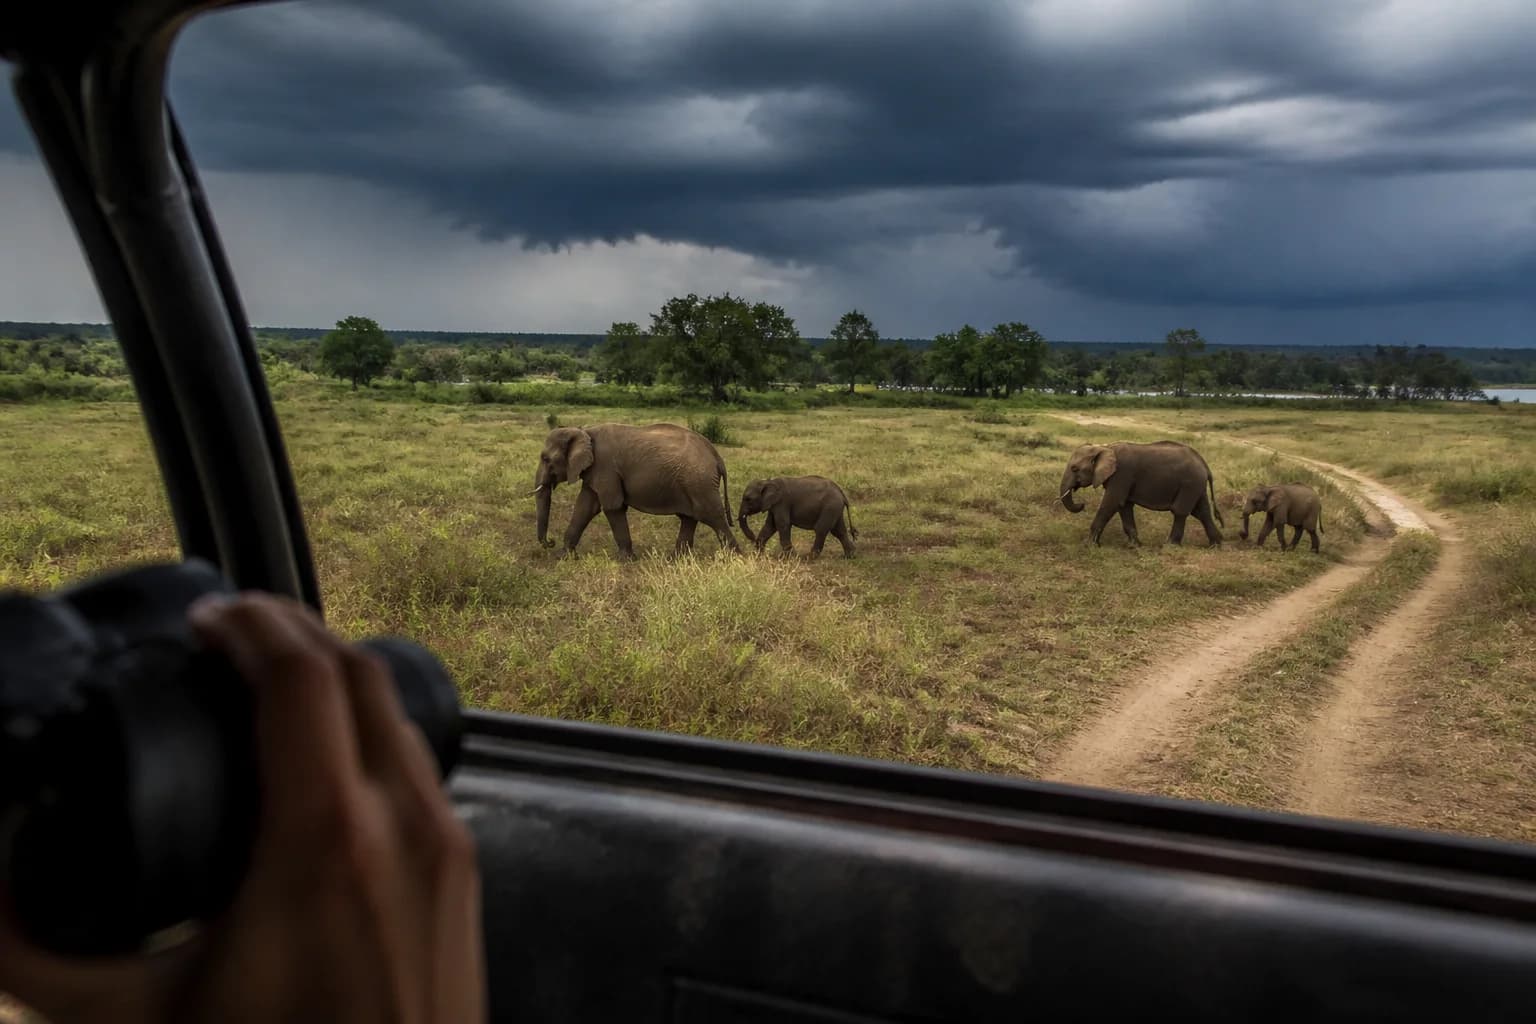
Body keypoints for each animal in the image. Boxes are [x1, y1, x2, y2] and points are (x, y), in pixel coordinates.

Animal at [532, 422, 742, 559]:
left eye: (545, 459)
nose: (550, 542)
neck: (583, 431)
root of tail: (717, 457)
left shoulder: (605, 467)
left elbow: (613, 507)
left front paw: (626, 560)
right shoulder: (596, 471)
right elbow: (585, 507)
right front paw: (564, 557)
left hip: (699, 481)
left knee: (712, 516)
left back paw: (736, 560)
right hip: (692, 483)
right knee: (689, 518)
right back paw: (676, 561)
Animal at [1059, 440, 1225, 546]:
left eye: (1074, 468)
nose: (1082, 504)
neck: (1104, 447)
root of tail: (1204, 464)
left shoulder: (1122, 474)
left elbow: (1112, 503)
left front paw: (1088, 546)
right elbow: (1124, 506)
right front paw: (1135, 546)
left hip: (1189, 483)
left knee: (1180, 511)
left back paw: (1170, 546)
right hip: (1196, 485)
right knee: (1202, 512)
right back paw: (1216, 545)